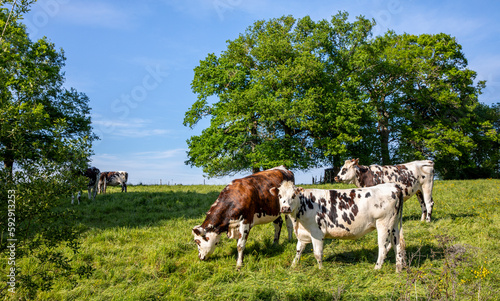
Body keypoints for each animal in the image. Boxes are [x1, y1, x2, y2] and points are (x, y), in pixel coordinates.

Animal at [274, 180, 406, 272]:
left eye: (293, 195)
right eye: (280, 196)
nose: (285, 208)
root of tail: (394, 186)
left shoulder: (317, 232)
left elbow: (317, 253)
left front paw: (321, 269)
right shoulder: (303, 234)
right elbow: (298, 251)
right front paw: (293, 266)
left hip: (383, 223)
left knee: (383, 248)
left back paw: (376, 269)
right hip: (393, 225)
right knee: (397, 246)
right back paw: (398, 270)